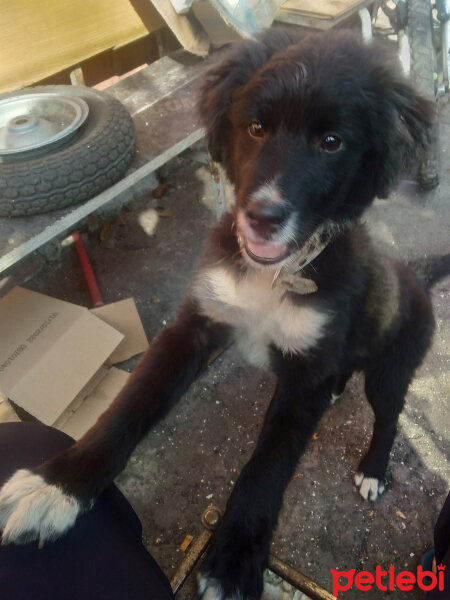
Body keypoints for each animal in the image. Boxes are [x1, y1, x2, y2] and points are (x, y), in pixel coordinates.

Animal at [0, 29, 436, 600]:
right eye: (255, 128)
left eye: (332, 142)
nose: (262, 217)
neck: (272, 276)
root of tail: (420, 276)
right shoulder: (197, 325)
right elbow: (130, 404)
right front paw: (59, 486)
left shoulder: (304, 379)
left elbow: (266, 468)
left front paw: (233, 563)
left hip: (392, 367)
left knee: (388, 416)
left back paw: (374, 469)